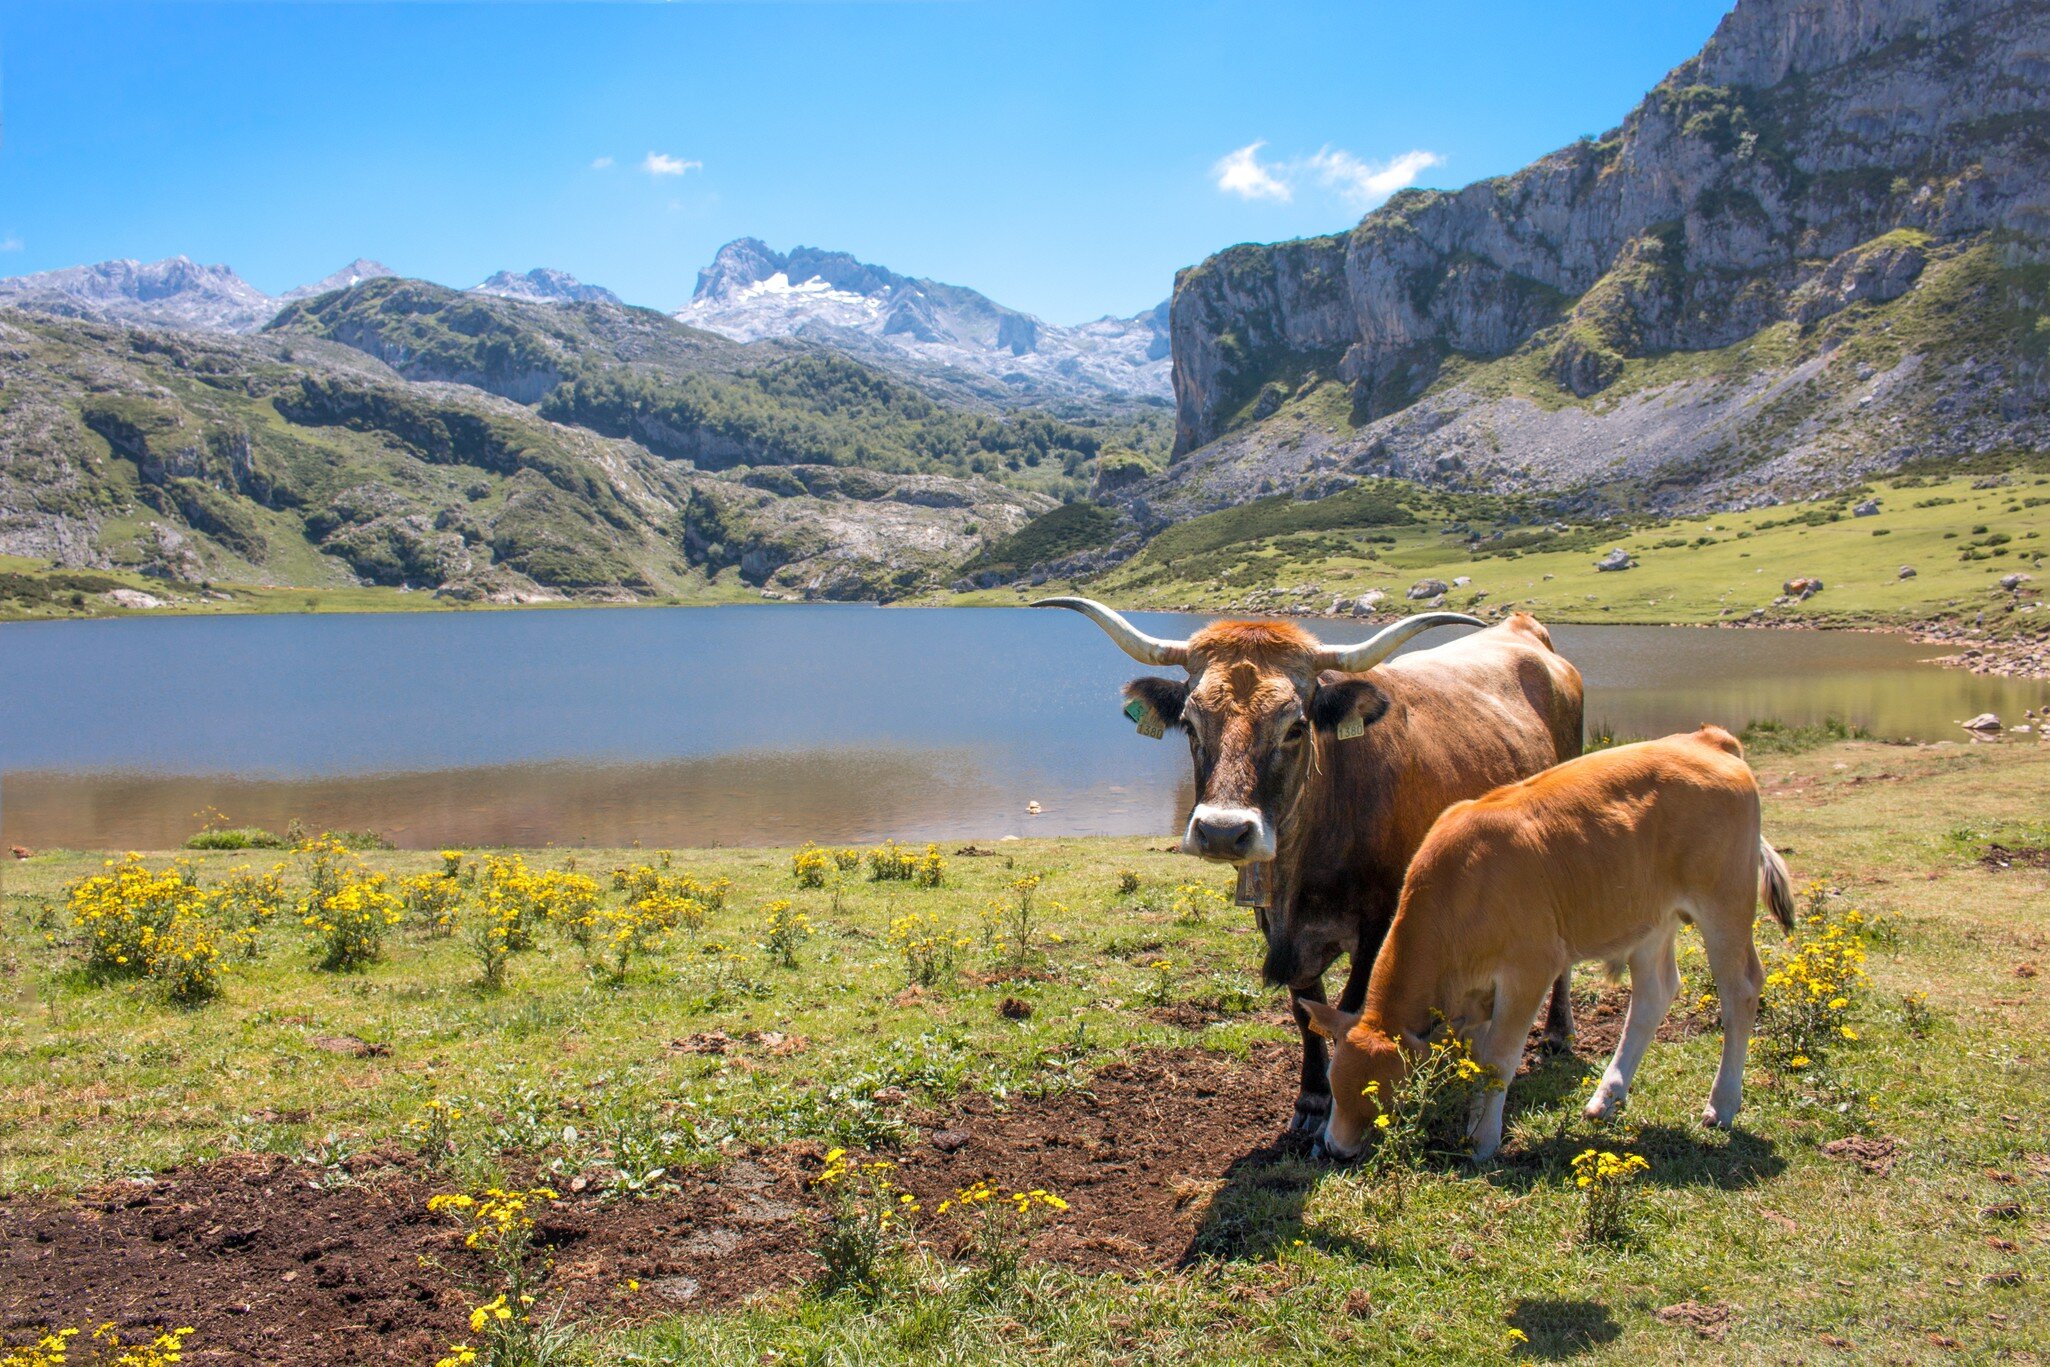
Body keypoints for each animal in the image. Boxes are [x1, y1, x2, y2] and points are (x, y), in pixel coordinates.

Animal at [1036, 597, 1584, 1135]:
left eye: (1296, 727)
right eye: (1190, 724)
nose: (1222, 831)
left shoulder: (1379, 923)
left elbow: (1349, 1010)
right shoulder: (1275, 925)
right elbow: (1306, 1012)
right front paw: (1313, 1100)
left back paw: (1558, 1033)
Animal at [1300, 725, 1796, 1159]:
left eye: (1386, 1096)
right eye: (1334, 1081)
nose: (1336, 1149)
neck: (1460, 889)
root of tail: (1707, 740)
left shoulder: (1530, 968)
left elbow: (1499, 1058)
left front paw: (1482, 1140)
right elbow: (1477, 1057)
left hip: (1724, 902)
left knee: (1740, 991)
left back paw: (1721, 1104)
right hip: (1650, 918)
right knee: (1654, 993)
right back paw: (1607, 1096)